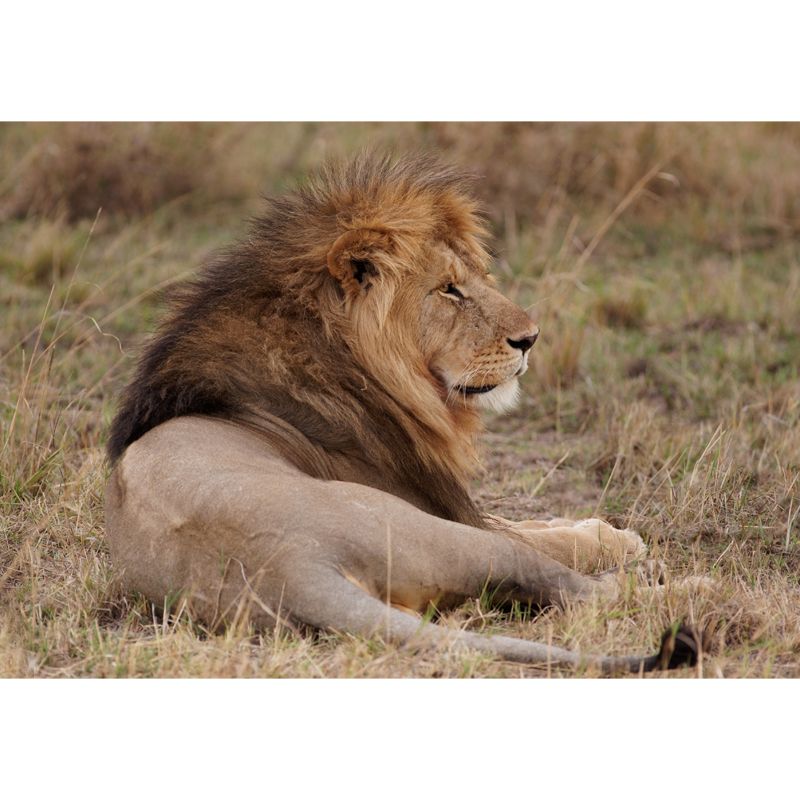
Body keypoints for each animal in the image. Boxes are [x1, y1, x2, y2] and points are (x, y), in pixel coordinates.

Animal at [105, 154, 698, 673]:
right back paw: (687, 586)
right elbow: (550, 537)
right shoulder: (448, 507)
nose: (530, 339)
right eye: (449, 290)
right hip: (439, 534)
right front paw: (613, 535)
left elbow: (531, 520)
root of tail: (290, 566)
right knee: (582, 591)